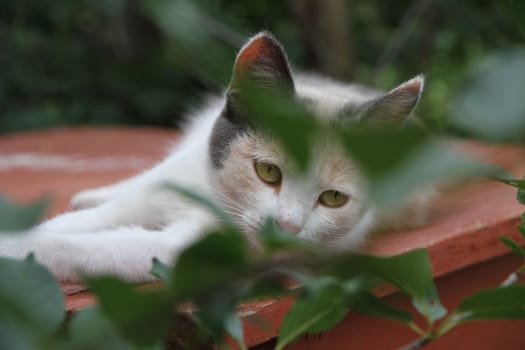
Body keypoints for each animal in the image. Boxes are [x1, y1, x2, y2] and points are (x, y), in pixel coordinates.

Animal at [0, 31, 430, 284]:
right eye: (267, 171)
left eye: (334, 198)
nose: (287, 228)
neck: (214, 194)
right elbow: (87, 221)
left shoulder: (200, 251)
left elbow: (111, 248)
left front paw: (17, 251)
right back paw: (95, 193)